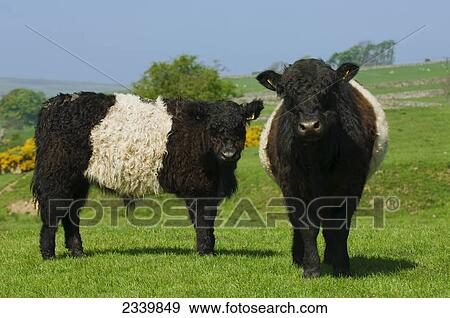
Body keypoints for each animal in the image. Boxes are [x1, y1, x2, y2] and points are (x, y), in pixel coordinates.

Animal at [32, 92, 264, 258]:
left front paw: (210, 249)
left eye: (240, 125)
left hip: (78, 181)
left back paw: (78, 252)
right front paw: (206, 251)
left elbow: (210, 219)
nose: (228, 153)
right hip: (57, 176)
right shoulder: (198, 187)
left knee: (71, 215)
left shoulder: (211, 189)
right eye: (213, 127)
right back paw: (48, 255)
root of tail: (55, 102)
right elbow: (202, 220)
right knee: (52, 213)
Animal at [256, 58, 386, 278]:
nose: (309, 126)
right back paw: (299, 258)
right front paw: (310, 268)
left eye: (329, 89)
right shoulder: (293, 188)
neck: (316, 159)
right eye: (286, 93)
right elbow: (306, 227)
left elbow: (339, 227)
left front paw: (341, 267)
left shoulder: (350, 185)